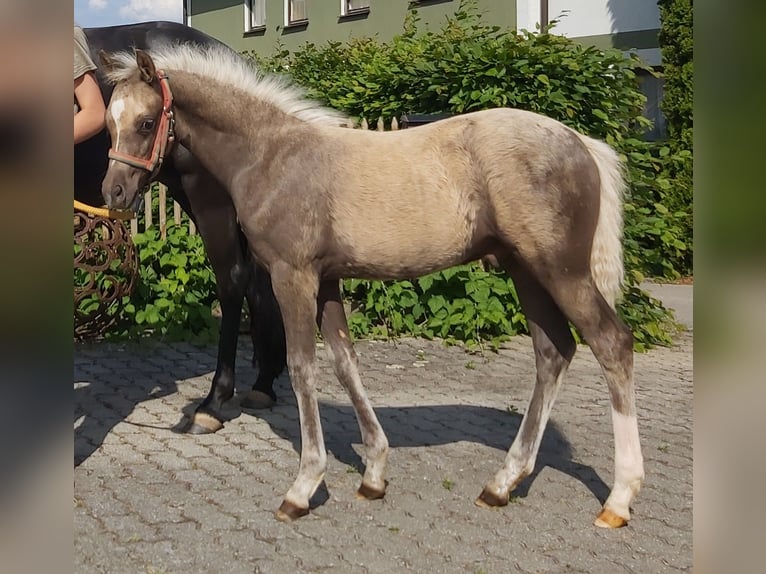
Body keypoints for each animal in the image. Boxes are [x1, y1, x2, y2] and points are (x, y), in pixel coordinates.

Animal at [75, 22, 288, 433]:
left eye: (145, 123)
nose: (112, 191)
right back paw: (263, 383)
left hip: (207, 195)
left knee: (234, 278)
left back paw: (214, 402)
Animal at [98, 44, 644, 529]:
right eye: (109, 122)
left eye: (146, 123)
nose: (114, 193)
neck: (271, 155)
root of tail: (583, 143)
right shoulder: (327, 281)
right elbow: (345, 363)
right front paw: (374, 473)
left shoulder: (293, 276)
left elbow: (303, 367)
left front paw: (304, 486)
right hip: (525, 271)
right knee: (553, 353)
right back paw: (503, 482)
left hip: (561, 272)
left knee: (612, 344)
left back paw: (618, 498)